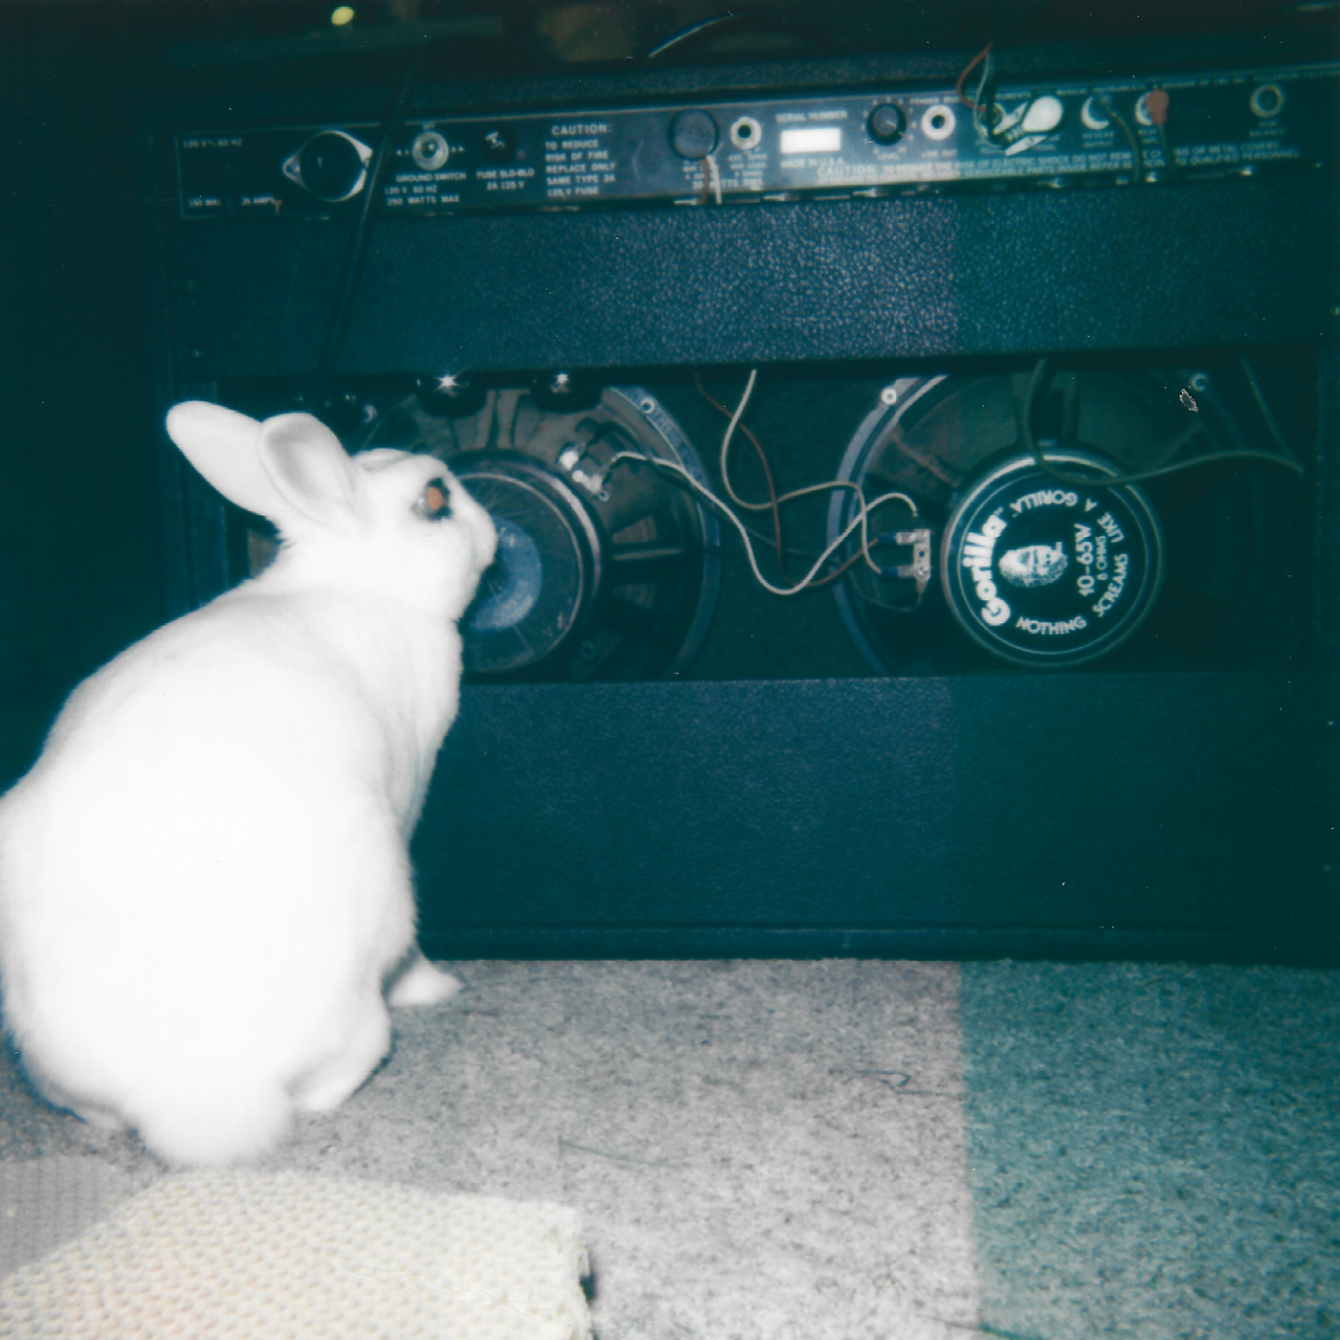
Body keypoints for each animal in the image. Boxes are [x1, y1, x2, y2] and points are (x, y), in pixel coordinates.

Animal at [0, 402, 497, 1167]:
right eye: (435, 500)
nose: (493, 530)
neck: (360, 581)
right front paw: (439, 985)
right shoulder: (408, 798)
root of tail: (195, 1098)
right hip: (376, 918)